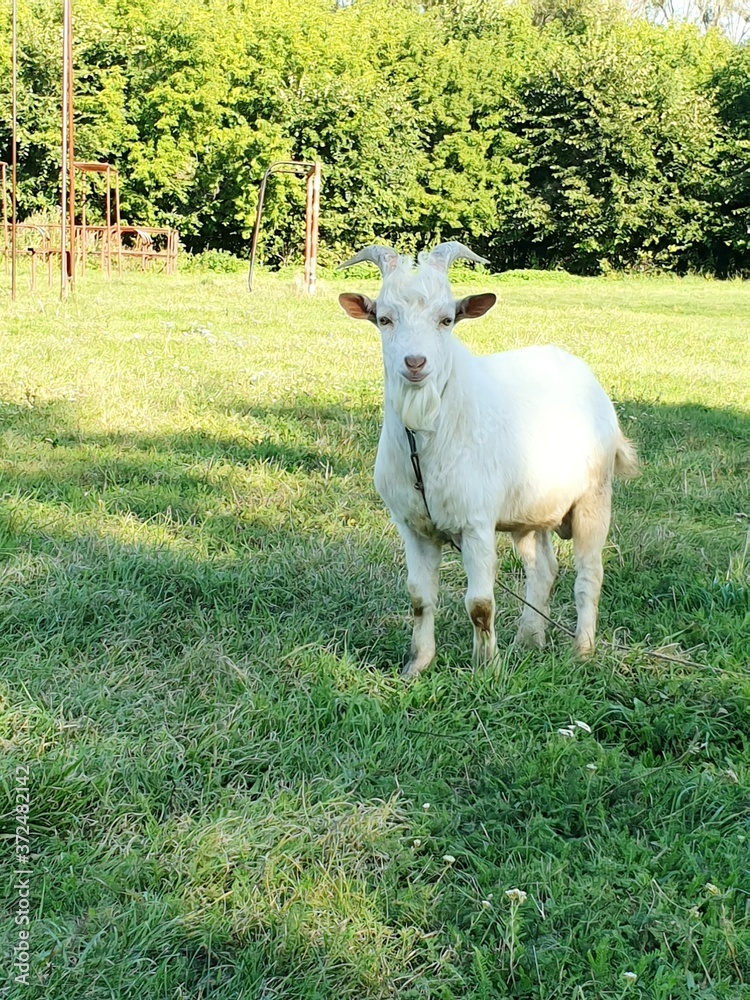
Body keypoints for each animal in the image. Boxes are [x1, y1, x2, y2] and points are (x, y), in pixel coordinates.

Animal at [338, 242, 638, 677]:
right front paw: (417, 666)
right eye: (384, 319)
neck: (428, 440)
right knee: (543, 570)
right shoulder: (412, 526)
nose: (415, 363)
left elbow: (480, 604)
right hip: (529, 513)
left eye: (447, 319)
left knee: (589, 574)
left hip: (594, 498)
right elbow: (419, 598)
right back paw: (529, 640)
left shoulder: (476, 523)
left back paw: (582, 650)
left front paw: (487, 669)